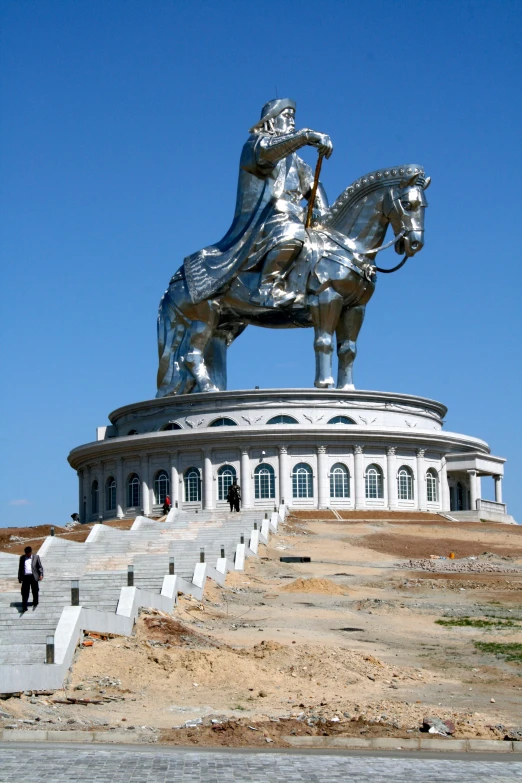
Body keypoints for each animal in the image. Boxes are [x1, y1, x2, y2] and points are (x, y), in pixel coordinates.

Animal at [153, 165, 426, 398]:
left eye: (424, 205)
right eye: (408, 204)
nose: (414, 244)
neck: (346, 244)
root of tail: (176, 279)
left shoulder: (355, 308)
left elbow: (348, 350)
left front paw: (347, 389)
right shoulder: (327, 299)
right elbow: (323, 343)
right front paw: (324, 386)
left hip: (224, 323)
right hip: (204, 317)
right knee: (191, 355)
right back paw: (210, 390)